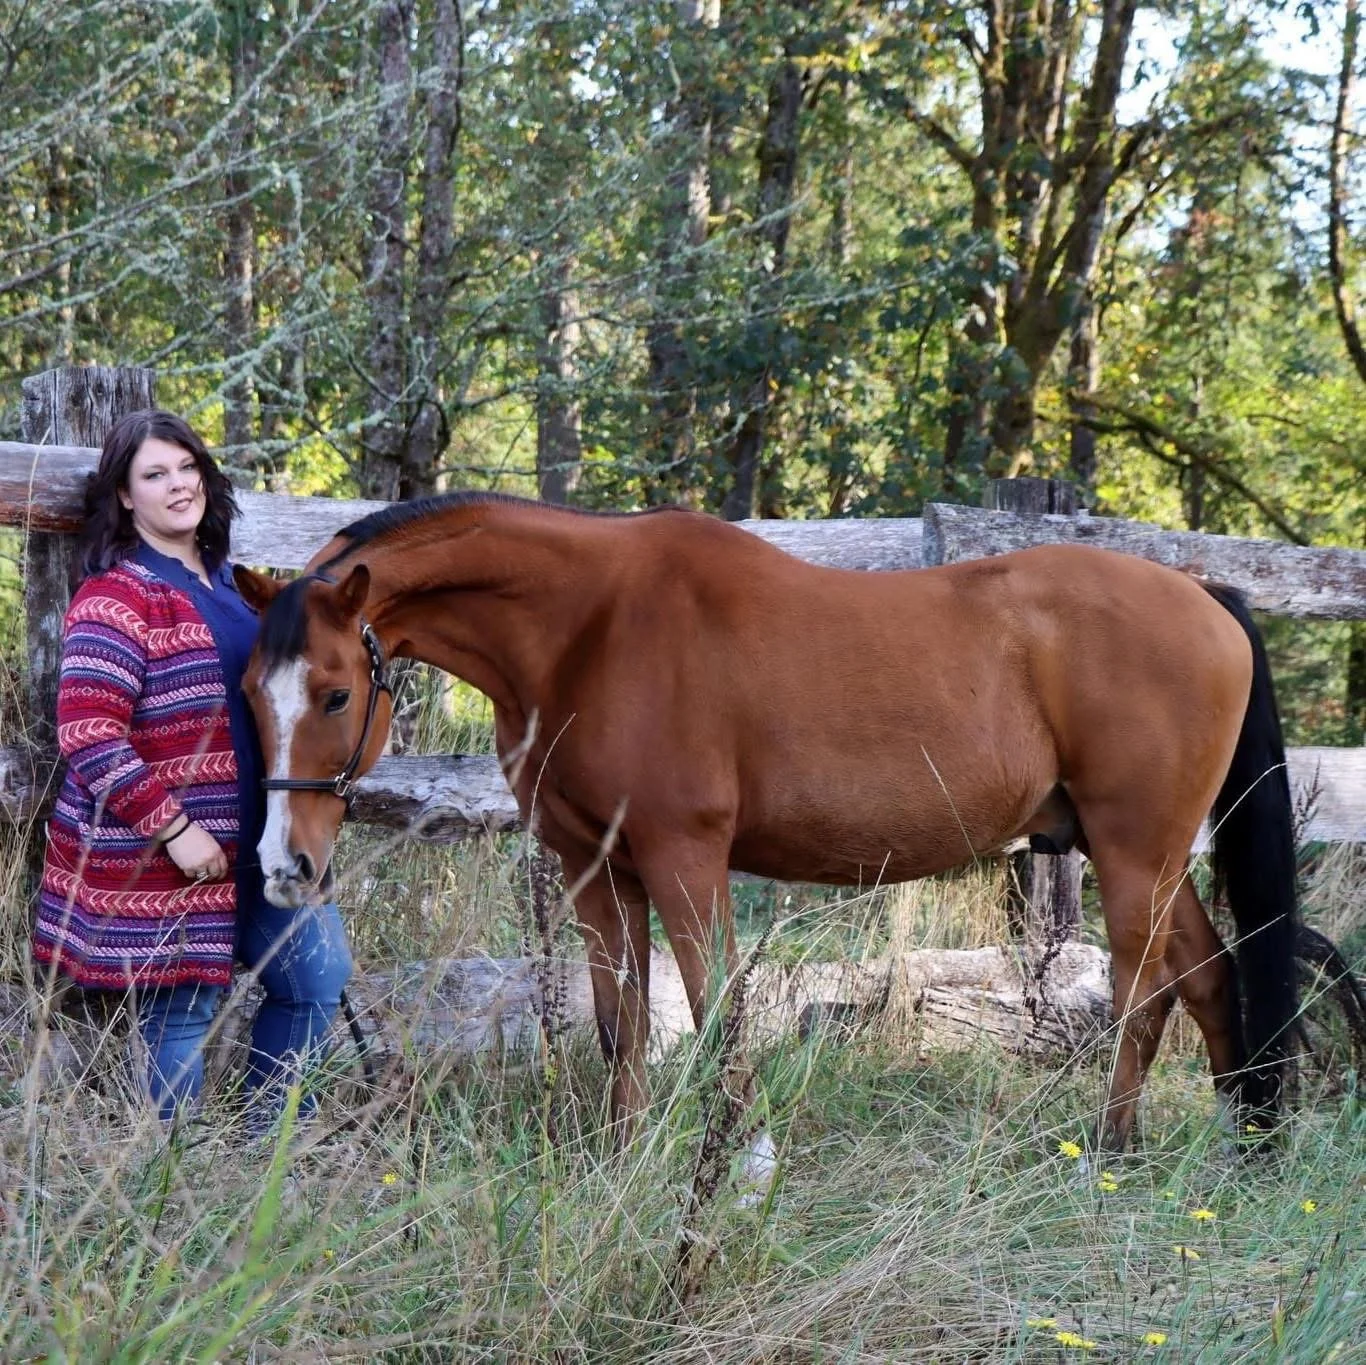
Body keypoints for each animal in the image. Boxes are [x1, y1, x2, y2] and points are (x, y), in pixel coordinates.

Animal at [234, 492, 1299, 1170]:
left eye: (336, 692)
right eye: (248, 692)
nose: (285, 866)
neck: (591, 626)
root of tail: (1206, 596)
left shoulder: (684, 855)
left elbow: (717, 1014)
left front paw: (743, 1163)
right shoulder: (595, 868)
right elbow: (622, 1023)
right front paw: (620, 1162)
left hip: (1132, 853)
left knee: (1142, 989)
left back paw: (1111, 1155)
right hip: (1148, 855)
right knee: (1206, 974)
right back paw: (1238, 1145)